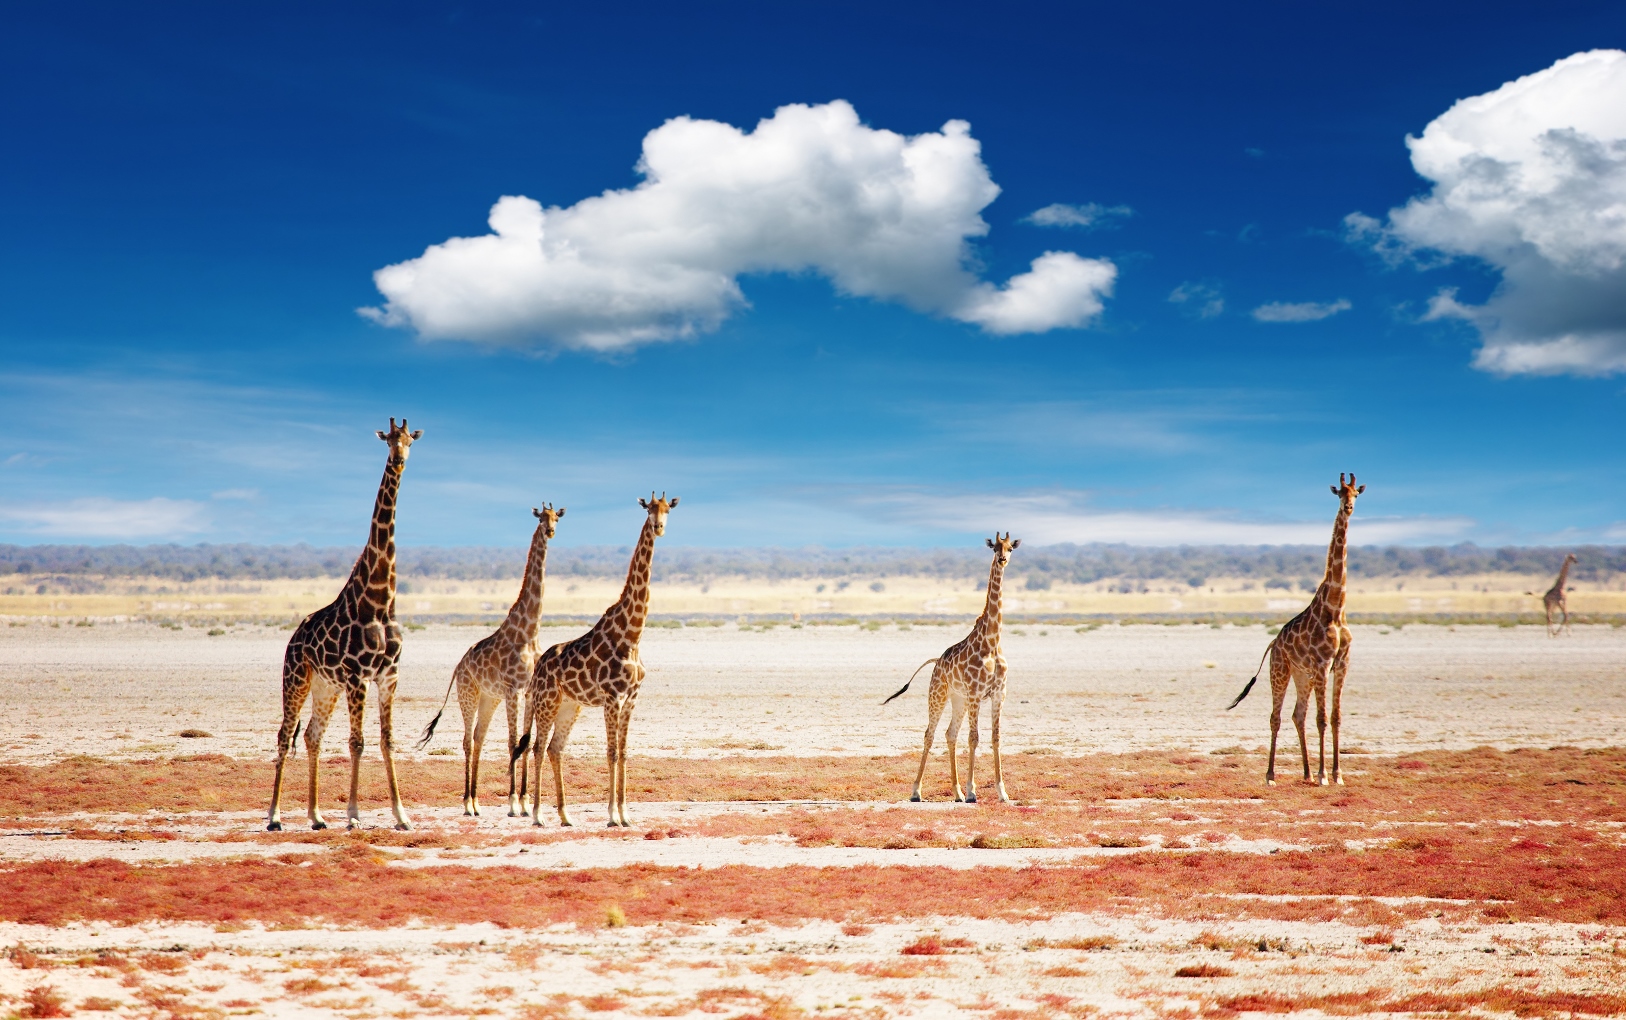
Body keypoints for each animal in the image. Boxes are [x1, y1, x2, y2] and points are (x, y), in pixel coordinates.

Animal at [268, 419, 422, 832]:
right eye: (388, 440)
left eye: (409, 440)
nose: (399, 460)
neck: (380, 601)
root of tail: (293, 638)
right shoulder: (358, 676)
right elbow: (358, 742)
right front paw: (353, 814)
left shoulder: (389, 675)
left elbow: (386, 740)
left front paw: (402, 815)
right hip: (297, 678)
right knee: (285, 733)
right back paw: (274, 816)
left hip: (326, 686)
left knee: (311, 735)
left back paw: (317, 816)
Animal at [419, 507, 565, 816]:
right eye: (541, 518)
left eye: (557, 517)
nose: (551, 531)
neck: (529, 631)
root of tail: (458, 666)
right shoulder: (513, 689)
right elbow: (512, 742)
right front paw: (512, 802)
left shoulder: (529, 691)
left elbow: (525, 742)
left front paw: (524, 801)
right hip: (468, 694)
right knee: (467, 740)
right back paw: (467, 802)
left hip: (489, 698)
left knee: (479, 738)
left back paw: (476, 802)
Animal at [517, 491, 676, 826]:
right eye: (649, 509)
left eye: (668, 509)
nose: (659, 527)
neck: (632, 636)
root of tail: (539, 668)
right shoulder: (612, 697)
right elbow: (611, 752)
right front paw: (613, 815)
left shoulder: (631, 697)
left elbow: (624, 752)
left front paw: (626, 814)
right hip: (547, 702)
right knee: (538, 748)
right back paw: (537, 814)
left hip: (570, 706)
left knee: (555, 749)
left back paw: (565, 815)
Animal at [884, 533, 1021, 806]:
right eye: (995, 548)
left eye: (1010, 548)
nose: (1002, 559)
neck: (992, 642)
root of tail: (937, 661)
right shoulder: (976, 693)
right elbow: (974, 738)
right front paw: (972, 792)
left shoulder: (999, 694)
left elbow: (995, 738)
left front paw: (1002, 793)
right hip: (938, 694)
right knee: (930, 733)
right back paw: (917, 792)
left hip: (958, 700)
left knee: (950, 734)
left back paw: (956, 793)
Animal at [1222, 475, 1365, 787]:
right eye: (1340, 494)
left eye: (1356, 495)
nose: (1348, 508)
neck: (1336, 607)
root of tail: (1273, 643)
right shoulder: (1323, 664)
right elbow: (1322, 719)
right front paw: (1325, 776)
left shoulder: (1342, 663)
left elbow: (1335, 717)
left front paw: (1337, 775)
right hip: (1280, 670)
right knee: (1276, 717)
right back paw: (1272, 775)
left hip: (1302, 675)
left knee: (1297, 715)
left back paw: (1307, 773)